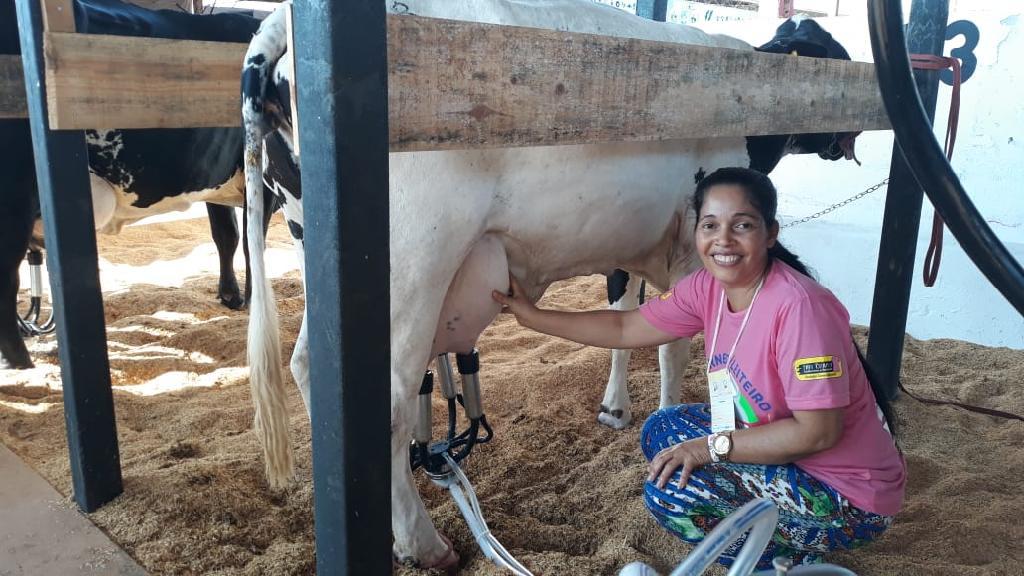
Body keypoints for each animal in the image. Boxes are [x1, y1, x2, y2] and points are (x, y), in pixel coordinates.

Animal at [243, 1, 860, 565]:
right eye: (830, 53)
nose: (846, 133)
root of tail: (278, 22)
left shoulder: (625, 242)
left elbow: (624, 316)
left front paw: (615, 409)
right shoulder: (692, 245)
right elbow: (676, 348)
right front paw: (671, 419)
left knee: (307, 364)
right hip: (411, 263)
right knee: (389, 402)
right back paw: (424, 543)